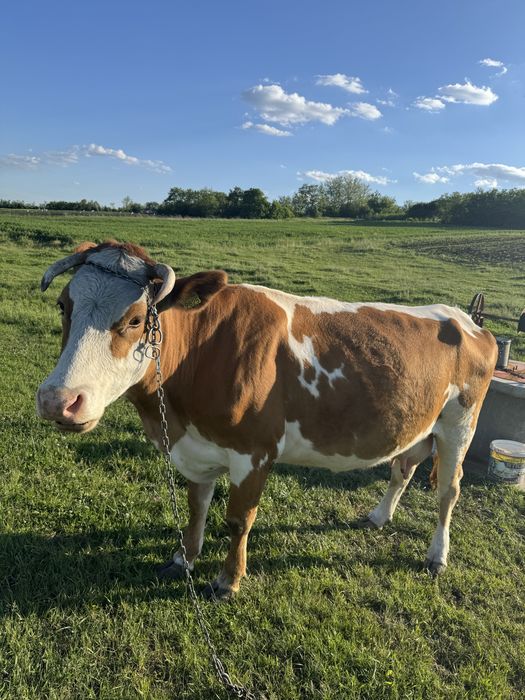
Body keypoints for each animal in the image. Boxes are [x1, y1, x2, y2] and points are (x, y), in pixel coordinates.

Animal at [37, 240, 497, 599]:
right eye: (63, 305)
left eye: (134, 319)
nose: (58, 401)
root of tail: (468, 320)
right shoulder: (197, 448)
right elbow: (196, 506)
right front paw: (183, 558)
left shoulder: (254, 451)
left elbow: (239, 520)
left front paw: (228, 581)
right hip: (418, 424)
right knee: (402, 468)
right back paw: (379, 516)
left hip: (460, 424)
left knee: (449, 490)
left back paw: (437, 555)